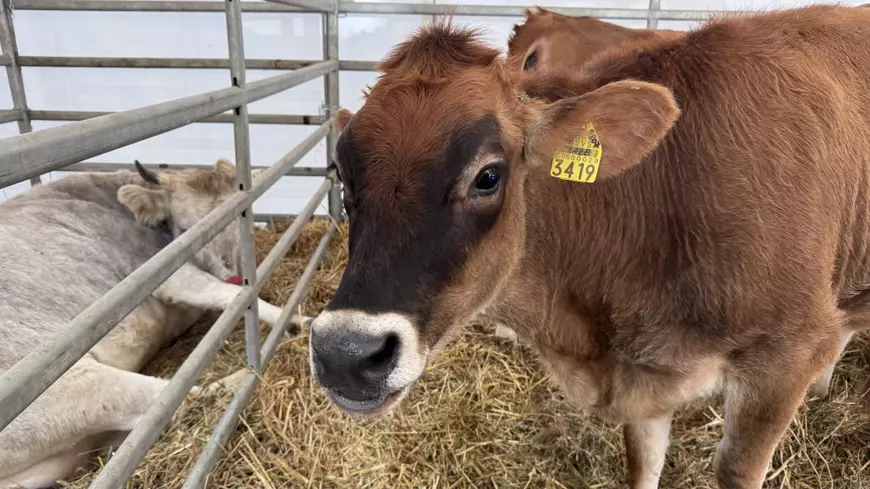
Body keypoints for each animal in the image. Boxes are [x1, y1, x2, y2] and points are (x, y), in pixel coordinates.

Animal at [0, 160, 293, 489]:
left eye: (240, 217)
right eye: (186, 230)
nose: (232, 273)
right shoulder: (160, 272)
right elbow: (223, 292)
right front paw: (294, 319)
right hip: (73, 387)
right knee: (183, 398)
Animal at [307, 5, 870, 489]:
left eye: (489, 176)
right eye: (342, 175)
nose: (344, 353)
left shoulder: (785, 356)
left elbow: (735, 468)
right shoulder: (642, 374)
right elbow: (643, 463)